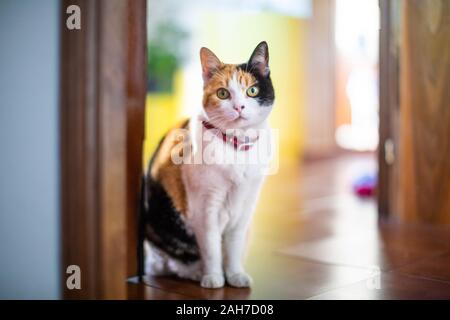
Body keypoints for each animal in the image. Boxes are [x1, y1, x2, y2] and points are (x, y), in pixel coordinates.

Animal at [139, 41, 274, 288]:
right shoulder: (205, 208)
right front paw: (213, 278)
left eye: (252, 91)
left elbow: (233, 245)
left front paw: (235, 274)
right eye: (223, 93)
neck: (236, 148)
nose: (239, 107)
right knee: (169, 264)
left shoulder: (246, 206)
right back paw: (196, 272)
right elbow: (211, 247)